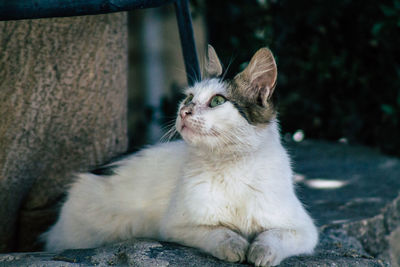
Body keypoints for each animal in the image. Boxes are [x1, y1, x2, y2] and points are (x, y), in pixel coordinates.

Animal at [43, 45, 318, 266]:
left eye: (217, 101)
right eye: (189, 98)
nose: (183, 111)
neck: (229, 165)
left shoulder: (305, 230)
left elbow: (272, 236)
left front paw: (260, 253)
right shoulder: (177, 226)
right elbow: (221, 233)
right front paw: (237, 247)